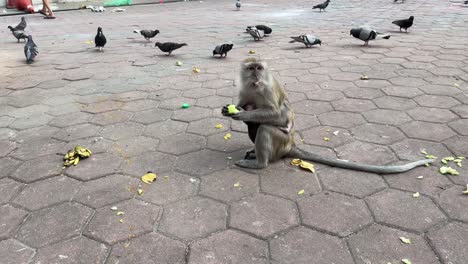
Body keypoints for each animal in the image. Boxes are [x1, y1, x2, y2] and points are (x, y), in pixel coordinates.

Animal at [224, 57, 436, 173]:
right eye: (251, 68)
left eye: (259, 68)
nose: (256, 75)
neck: (255, 86)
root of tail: (291, 145)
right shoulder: (244, 89)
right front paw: (232, 110)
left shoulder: (267, 89)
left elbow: (280, 116)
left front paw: (241, 115)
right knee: (256, 126)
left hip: (281, 143)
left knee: (265, 127)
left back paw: (260, 164)